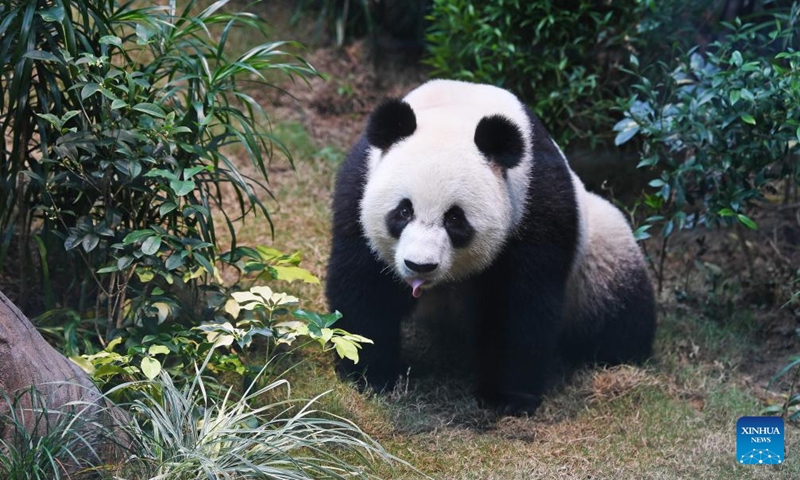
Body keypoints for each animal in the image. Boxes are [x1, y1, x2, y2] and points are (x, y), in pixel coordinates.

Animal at [326, 79, 656, 412]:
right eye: (404, 211)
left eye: (455, 218)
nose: (420, 265)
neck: (460, 108)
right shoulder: (359, 188)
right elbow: (366, 287)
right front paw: (372, 374)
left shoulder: (536, 205)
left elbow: (518, 307)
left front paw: (507, 397)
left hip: (598, 252)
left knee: (617, 308)